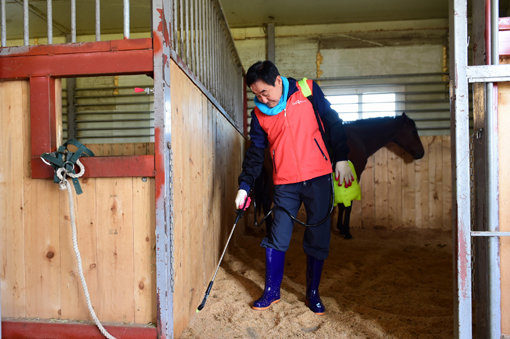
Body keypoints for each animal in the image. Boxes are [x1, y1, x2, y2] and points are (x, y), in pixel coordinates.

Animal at [251, 113, 422, 239]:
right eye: (413, 132)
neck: (358, 139)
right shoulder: (355, 174)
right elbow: (349, 204)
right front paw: (346, 231)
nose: (421, 153)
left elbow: (341, 203)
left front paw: (339, 227)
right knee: (267, 199)